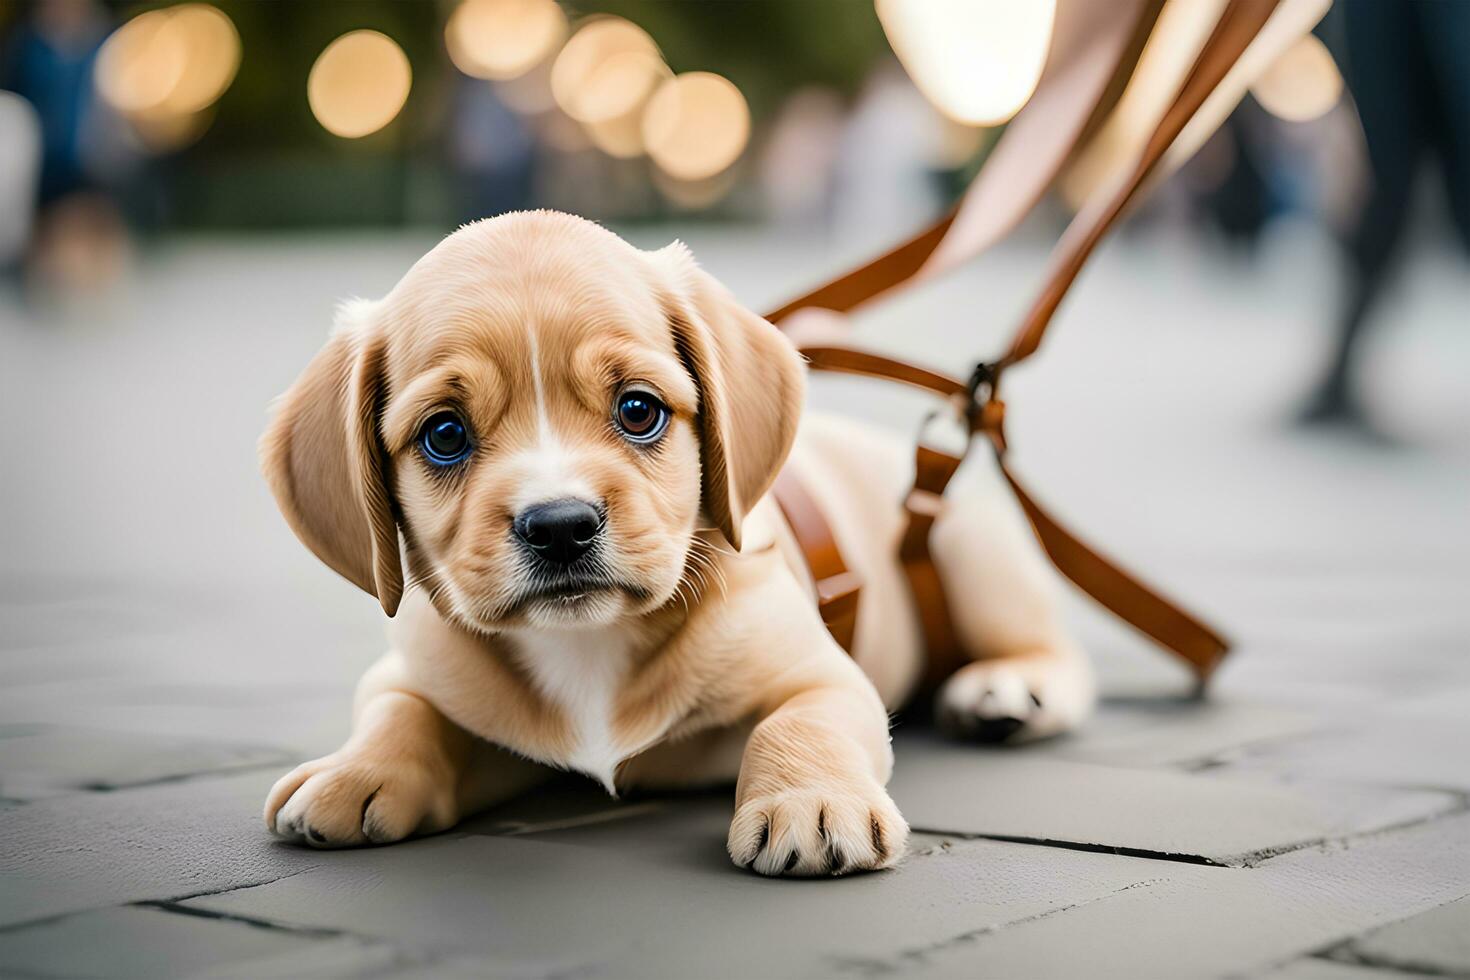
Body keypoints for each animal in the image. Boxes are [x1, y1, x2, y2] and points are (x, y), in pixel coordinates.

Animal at [261, 211, 1093, 875]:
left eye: (638, 411)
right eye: (443, 435)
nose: (559, 525)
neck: (587, 643)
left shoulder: (825, 675)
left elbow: (799, 722)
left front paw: (813, 803)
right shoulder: (422, 679)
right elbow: (398, 713)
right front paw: (351, 772)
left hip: (970, 554)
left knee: (1056, 653)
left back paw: (1007, 690)